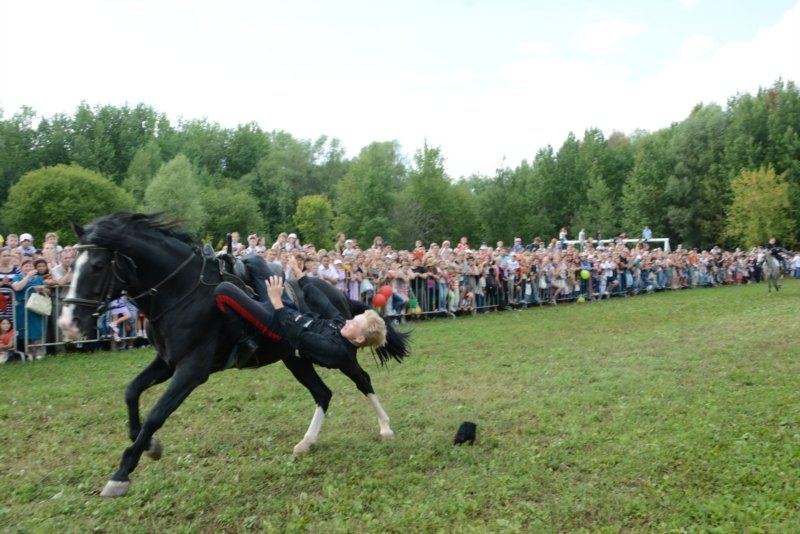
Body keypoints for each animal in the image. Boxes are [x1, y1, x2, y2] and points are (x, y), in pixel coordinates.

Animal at [57, 213, 410, 498]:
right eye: (71, 266)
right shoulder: (167, 363)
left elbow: (156, 414)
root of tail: (338, 294)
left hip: (336, 355)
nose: (67, 323)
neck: (182, 291)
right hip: (295, 358)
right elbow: (131, 392)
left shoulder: (191, 370)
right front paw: (149, 445)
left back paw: (385, 428)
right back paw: (307, 442)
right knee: (323, 393)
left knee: (362, 380)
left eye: (97, 266)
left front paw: (122, 473)